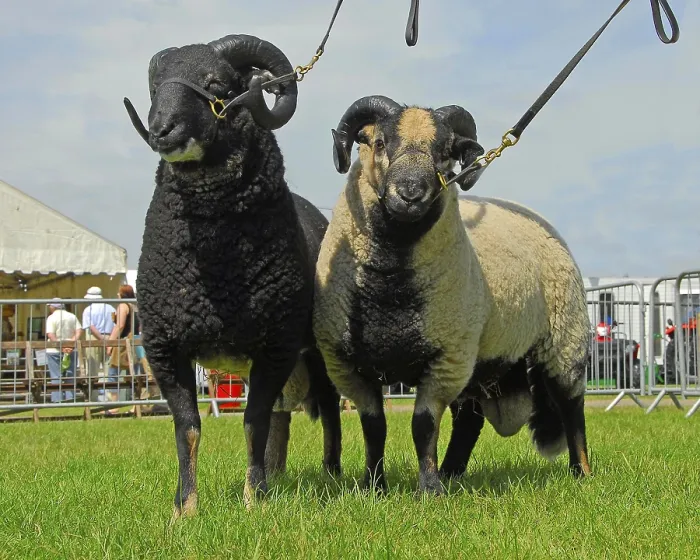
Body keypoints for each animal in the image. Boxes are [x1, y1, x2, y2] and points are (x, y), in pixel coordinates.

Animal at [130, 34, 342, 519]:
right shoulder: (165, 347)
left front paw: (253, 500)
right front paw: (184, 509)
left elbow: (252, 422)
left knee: (329, 408)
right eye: (156, 86)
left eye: (216, 84)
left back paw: (331, 473)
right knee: (284, 416)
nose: (161, 130)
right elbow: (188, 428)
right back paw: (277, 473)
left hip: (316, 350)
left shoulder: (274, 346)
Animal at [312, 95, 592, 495]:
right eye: (379, 143)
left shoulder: (446, 358)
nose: (410, 194)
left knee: (571, 407)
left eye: (445, 153)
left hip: (562, 340)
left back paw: (581, 473)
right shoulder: (347, 364)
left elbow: (423, 425)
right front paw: (373, 487)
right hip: (482, 360)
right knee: (469, 422)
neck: (390, 291)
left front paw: (428, 491)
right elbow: (374, 427)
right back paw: (451, 472)